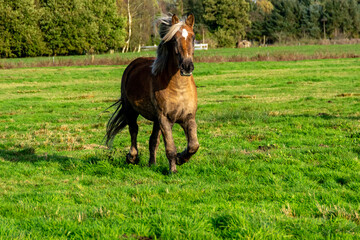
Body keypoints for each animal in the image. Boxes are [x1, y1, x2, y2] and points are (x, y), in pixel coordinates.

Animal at [105, 14, 198, 172]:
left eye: (192, 37)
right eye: (174, 39)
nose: (187, 66)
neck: (179, 89)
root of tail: (133, 64)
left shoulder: (188, 117)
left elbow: (193, 145)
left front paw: (180, 158)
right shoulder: (165, 119)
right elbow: (170, 148)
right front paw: (173, 170)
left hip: (156, 120)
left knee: (153, 140)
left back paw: (152, 164)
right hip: (130, 110)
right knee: (133, 130)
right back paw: (132, 157)